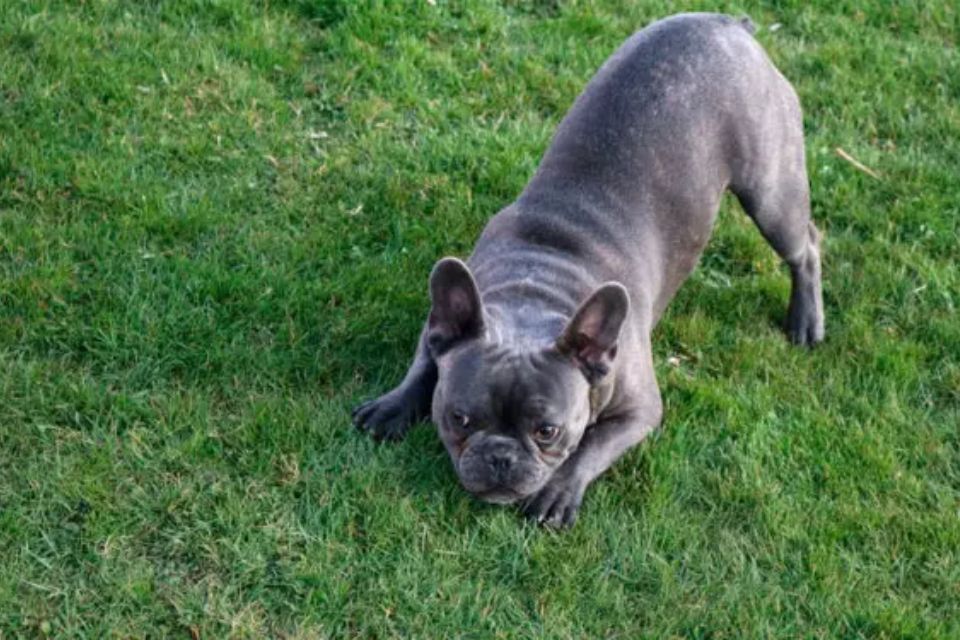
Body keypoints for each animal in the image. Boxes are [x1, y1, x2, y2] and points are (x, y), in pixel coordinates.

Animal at [352, 12, 824, 528]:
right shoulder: (441, 323)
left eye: (548, 431)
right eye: (459, 419)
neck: (535, 290)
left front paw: (559, 491)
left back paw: (805, 320)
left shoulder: (640, 411)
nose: (500, 456)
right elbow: (423, 364)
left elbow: (592, 446)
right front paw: (393, 405)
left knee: (805, 246)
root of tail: (729, 24)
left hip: (771, 191)